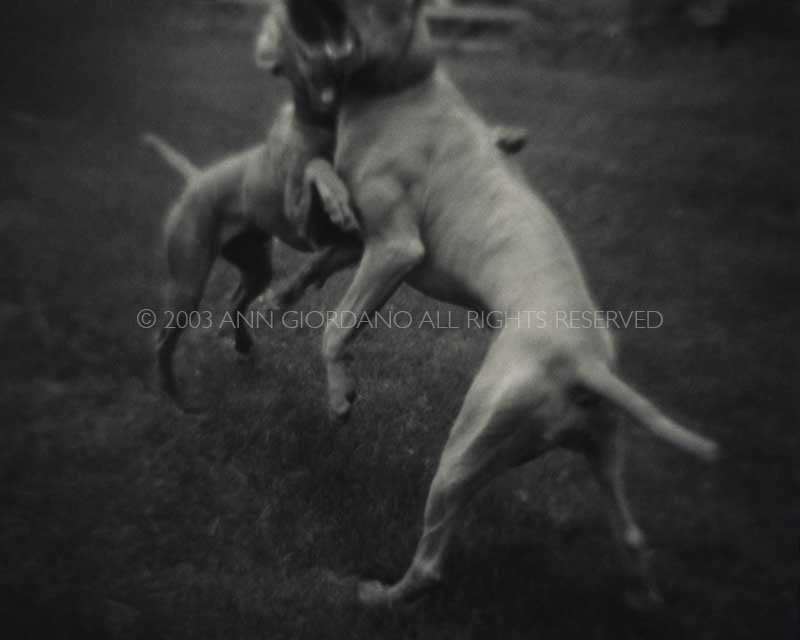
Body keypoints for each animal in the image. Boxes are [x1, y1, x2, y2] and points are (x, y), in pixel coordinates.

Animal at [282, 0, 720, 608]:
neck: (403, 83)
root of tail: (585, 365)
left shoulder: (394, 249)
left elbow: (336, 330)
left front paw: (340, 396)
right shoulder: (359, 241)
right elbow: (316, 240)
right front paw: (274, 298)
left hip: (466, 450)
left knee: (431, 563)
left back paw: (376, 595)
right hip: (601, 446)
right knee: (631, 535)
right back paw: (643, 600)